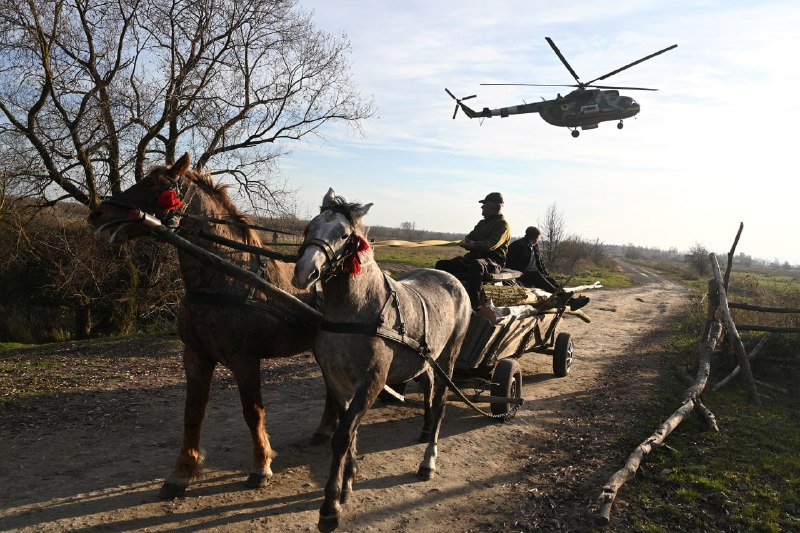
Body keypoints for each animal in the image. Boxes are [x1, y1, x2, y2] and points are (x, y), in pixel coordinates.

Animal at [86, 154, 334, 498]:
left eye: (150, 184)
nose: (97, 214)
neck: (228, 274)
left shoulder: (245, 360)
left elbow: (252, 412)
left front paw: (261, 466)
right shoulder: (196, 354)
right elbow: (192, 413)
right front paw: (181, 473)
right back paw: (325, 430)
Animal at [294, 189, 472, 528]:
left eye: (344, 234)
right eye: (310, 226)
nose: (303, 273)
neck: (357, 310)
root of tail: (452, 278)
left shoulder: (371, 383)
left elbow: (342, 437)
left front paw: (330, 508)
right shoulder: (337, 382)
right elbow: (349, 434)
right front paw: (348, 482)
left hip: (450, 357)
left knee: (441, 403)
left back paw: (428, 461)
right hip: (424, 360)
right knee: (428, 385)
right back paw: (425, 428)